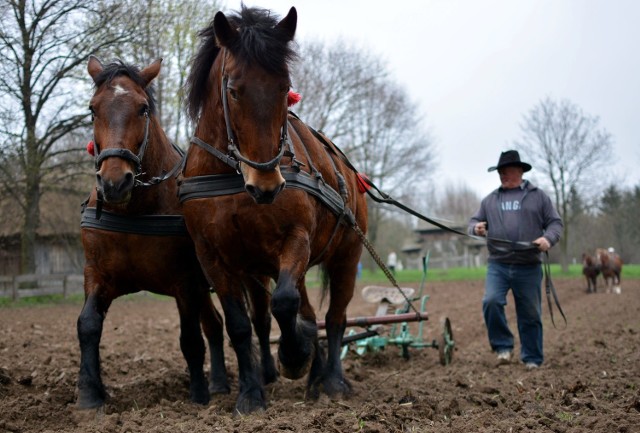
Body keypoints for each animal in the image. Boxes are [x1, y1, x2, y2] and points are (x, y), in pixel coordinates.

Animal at [76, 54, 230, 408]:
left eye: (143, 108)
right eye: (93, 109)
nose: (114, 183)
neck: (133, 210)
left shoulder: (184, 283)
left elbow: (190, 339)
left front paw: (198, 395)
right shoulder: (97, 274)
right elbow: (88, 325)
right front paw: (90, 395)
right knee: (214, 325)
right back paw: (219, 382)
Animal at [180, 5, 368, 412]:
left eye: (284, 88)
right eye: (233, 90)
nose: (266, 185)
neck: (234, 178)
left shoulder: (295, 239)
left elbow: (286, 304)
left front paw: (295, 356)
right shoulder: (212, 255)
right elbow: (240, 325)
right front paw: (251, 394)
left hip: (346, 255)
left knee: (335, 316)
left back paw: (331, 379)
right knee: (300, 313)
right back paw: (312, 378)